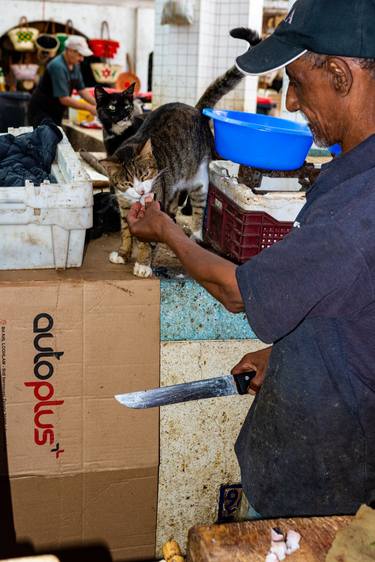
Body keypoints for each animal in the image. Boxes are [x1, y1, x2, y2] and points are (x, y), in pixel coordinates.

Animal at [98, 27, 260, 276]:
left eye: (145, 175)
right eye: (126, 182)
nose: (142, 191)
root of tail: (196, 110)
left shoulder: (157, 203)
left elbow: (146, 241)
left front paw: (143, 264)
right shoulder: (124, 205)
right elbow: (125, 231)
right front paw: (123, 253)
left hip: (200, 182)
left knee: (199, 208)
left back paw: (195, 235)